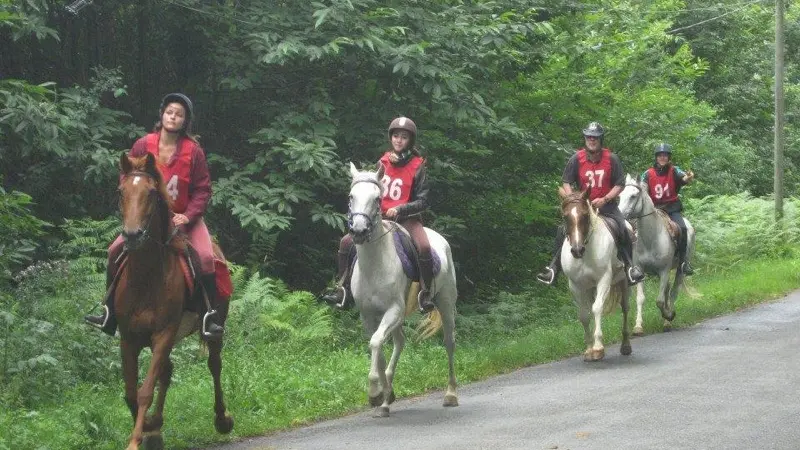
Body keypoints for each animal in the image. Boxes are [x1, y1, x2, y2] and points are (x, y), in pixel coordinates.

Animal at [115, 153, 234, 448]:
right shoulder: (129, 337)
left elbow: (145, 390)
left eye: (150, 193)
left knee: (214, 364)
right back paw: (156, 427)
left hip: (213, 326)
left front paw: (136, 439)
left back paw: (222, 419)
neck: (146, 278)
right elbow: (131, 391)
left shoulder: (163, 333)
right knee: (167, 372)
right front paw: (148, 427)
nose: (132, 235)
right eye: (121, 191)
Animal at [348, 163, 460, 416]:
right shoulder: (369, 316)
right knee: (399, 342)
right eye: (351, 197)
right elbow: (377, 346)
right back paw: (387, 398)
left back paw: (450, 394)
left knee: (449, 341)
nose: (358, 231)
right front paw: (383, 395)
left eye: (377, 199)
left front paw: (375, 392)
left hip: (446, 303)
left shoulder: (394, 310)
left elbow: (376, 343)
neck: (375, 265)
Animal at [556, 187, 632, 362]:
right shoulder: (576, 285)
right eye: (565, 216)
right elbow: (584, 314)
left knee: (625, 308)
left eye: (585, 215)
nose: (577, 250)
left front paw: (598, 348)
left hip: (624, 282)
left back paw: (626, 345)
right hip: (589, 288)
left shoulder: (603, 279)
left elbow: (597, 308)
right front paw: (589, 350)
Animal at [616, 175, 696, 334]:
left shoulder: (664, 271)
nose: (620, 216)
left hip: (679, 270)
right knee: (667, 291)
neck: (651, 239)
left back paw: (668, 318)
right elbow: (641, 298)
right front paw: (638, 326)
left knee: (673, 292)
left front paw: (669, 316)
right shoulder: (640, 271)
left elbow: (659, 300)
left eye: (633, 196)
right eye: (620, 196)